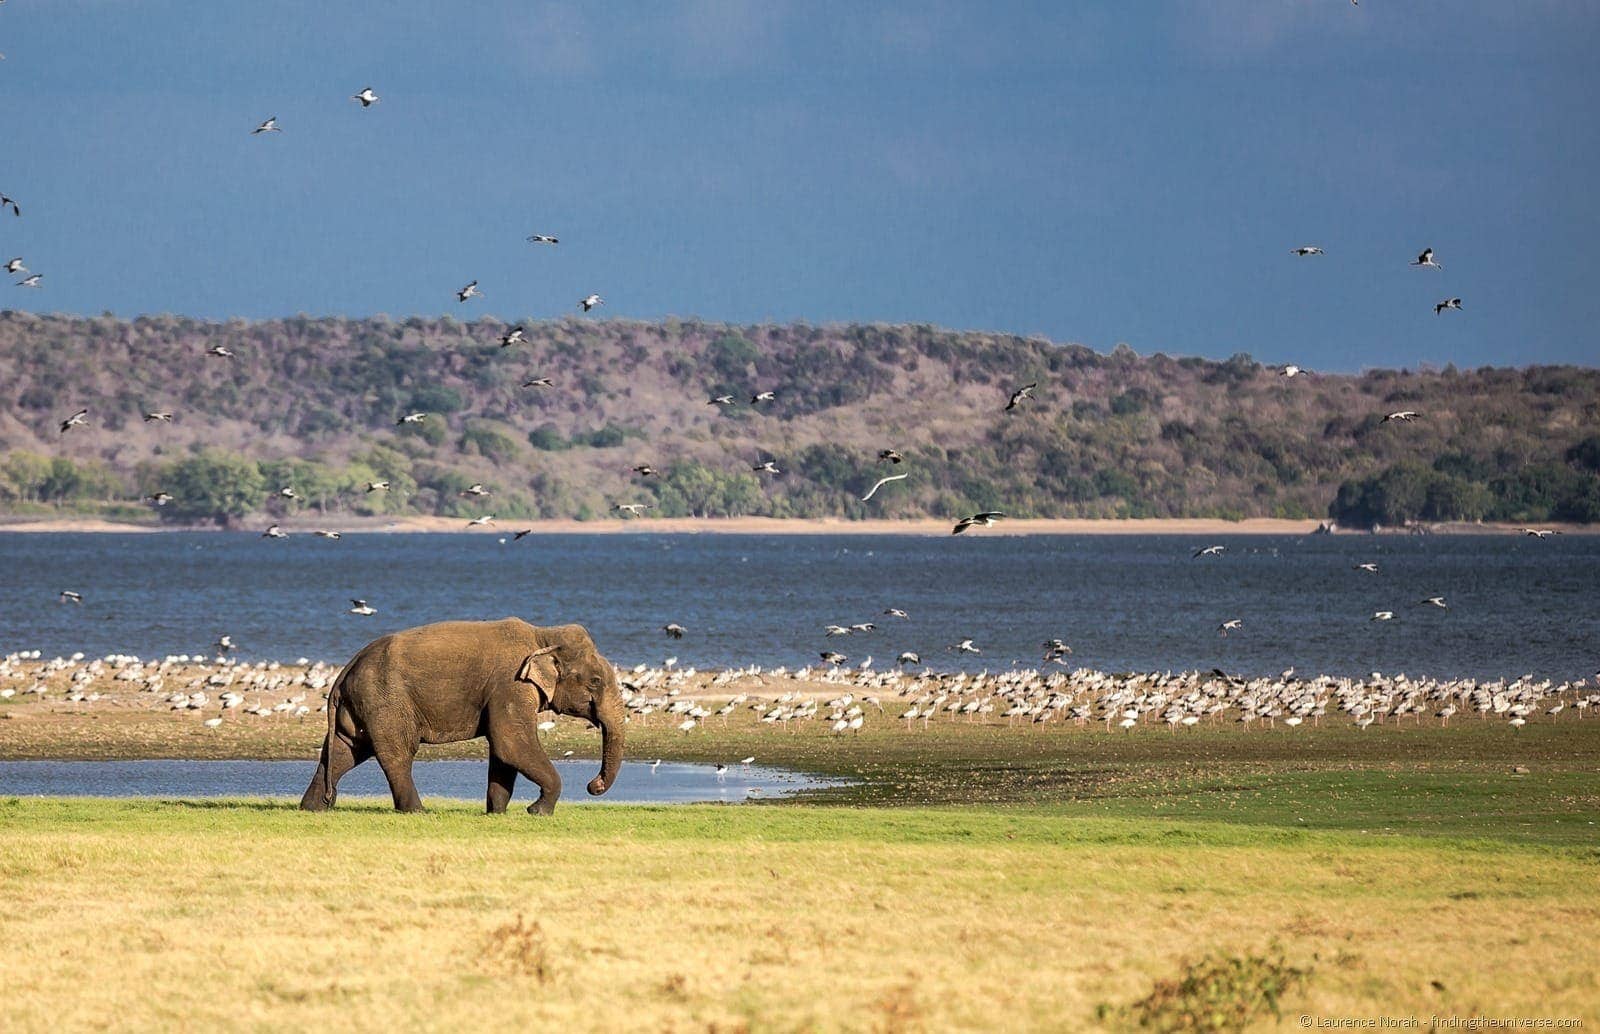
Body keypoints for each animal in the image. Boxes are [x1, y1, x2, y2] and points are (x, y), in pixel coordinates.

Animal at [300, 624, 624, 819]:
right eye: (596, 681)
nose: (593, 785)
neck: (542, 635)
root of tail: (344, 672)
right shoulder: (510, 685)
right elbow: (511, 744)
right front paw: (537, 812)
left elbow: (504, 753)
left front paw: (496, 813)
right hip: (385, 703)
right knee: (397, 754)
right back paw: (417, 812)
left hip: (361, 708)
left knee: (342, 753)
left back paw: (314, 808)